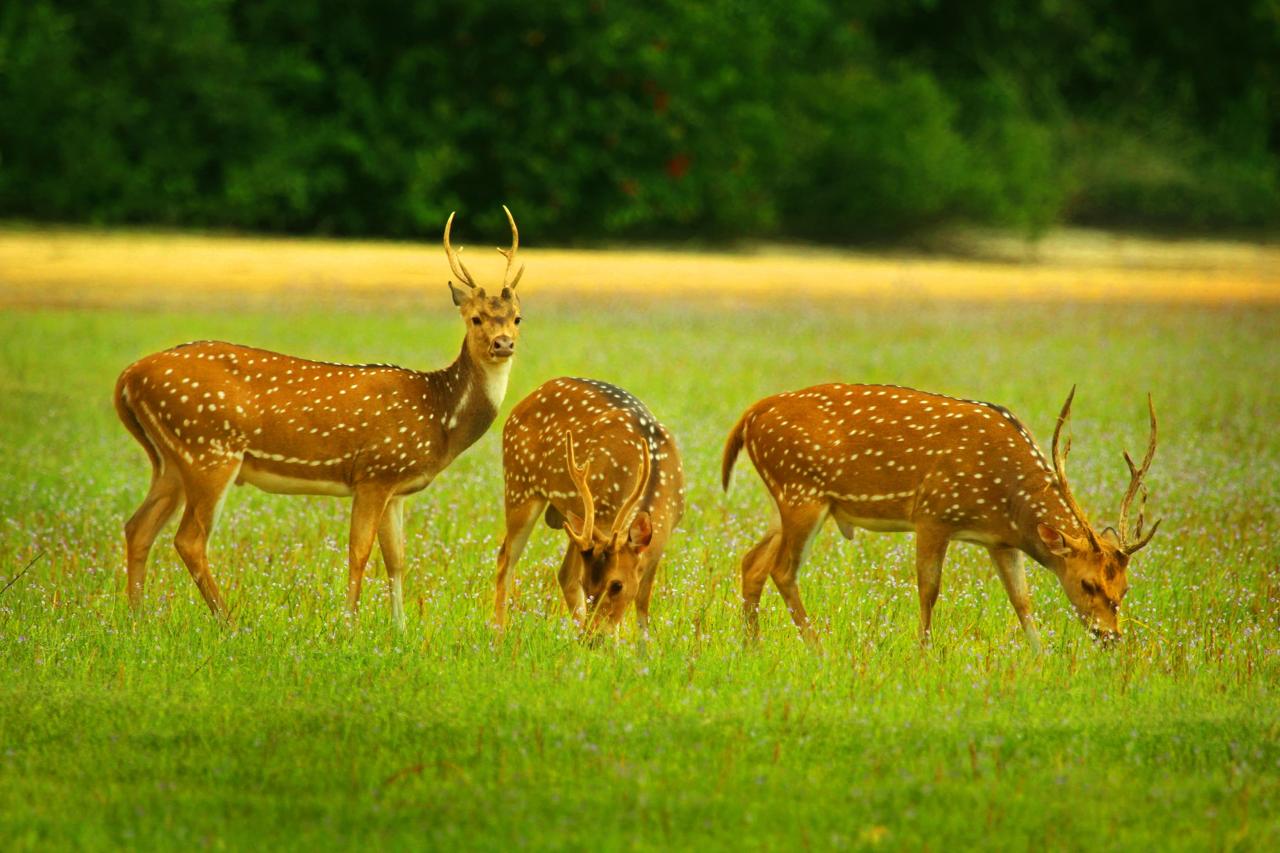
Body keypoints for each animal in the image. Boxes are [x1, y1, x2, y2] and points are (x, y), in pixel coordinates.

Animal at [113, 207, 525, 627]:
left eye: (517, 318)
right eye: (475, 318)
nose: (503, 344)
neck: (439, 415)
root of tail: (128, 377)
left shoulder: (396, 486)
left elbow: (396, 559)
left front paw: (400, 629)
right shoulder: (374, 472)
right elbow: (359, 553)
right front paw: (348, 624)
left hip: (172, 459)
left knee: (138, 527)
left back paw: (137, 618)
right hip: (207, 450)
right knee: (189, 539)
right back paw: (228, 622)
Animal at [492, 377, 685, 637]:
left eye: (617, 585)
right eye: (587, 585)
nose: (593, 638)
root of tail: (521, 404)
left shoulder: (657, 546)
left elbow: (642, 606)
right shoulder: (600, 517)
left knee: (563, 574)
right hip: (519, 485)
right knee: (507, 559)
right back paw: (498, 634)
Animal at [721, 384, 1159, 649]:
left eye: (1125, 589)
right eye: (1087, 583)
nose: (1111, 636)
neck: (1007, 497)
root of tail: (749, 416)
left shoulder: (1001, 541)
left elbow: (1021, 599)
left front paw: (1041, 656)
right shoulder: (933, 513)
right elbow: (929, 588)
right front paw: (924, 651)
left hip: (789, 500)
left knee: (752, 562)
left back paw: (752, 645)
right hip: (802, 491)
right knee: (782, 569)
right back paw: (816, 647)